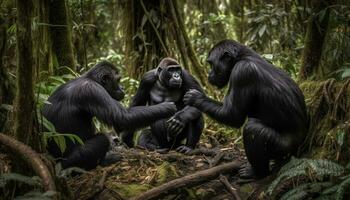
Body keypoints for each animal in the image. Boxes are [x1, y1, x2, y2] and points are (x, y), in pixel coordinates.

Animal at [42, 61, 176, 170]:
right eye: (118, 80)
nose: (122, 87)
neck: (91, 79)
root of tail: (52, 160)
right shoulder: (93, 91)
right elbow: (122, 117)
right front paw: (166, 108)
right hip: (70, 161)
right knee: (102, 139)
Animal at [185, 39, 308, 179]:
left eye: (211, 64)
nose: (209, 74)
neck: (242, 58)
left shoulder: (242, 73)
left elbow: (232, 115)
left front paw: (195, 98)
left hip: (283, 147)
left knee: (253, 129)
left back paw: (257, 172)